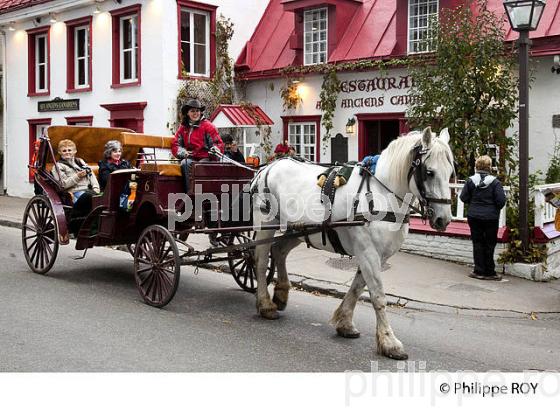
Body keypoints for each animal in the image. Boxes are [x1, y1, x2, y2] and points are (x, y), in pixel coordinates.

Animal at [249, 127, 456, 358]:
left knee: (279, 251)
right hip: (265, 223)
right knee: (260, 261)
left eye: (450, 172)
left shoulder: (377, 256)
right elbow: (378, 296)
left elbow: (357, 288)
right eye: (429, 172)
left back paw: (281, 294)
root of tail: (268, 166)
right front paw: (389, 341)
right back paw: (265, 304)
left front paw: (345, 322)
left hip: (299, 230)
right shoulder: (368, 252)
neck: (381, 194)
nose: (444, 219)